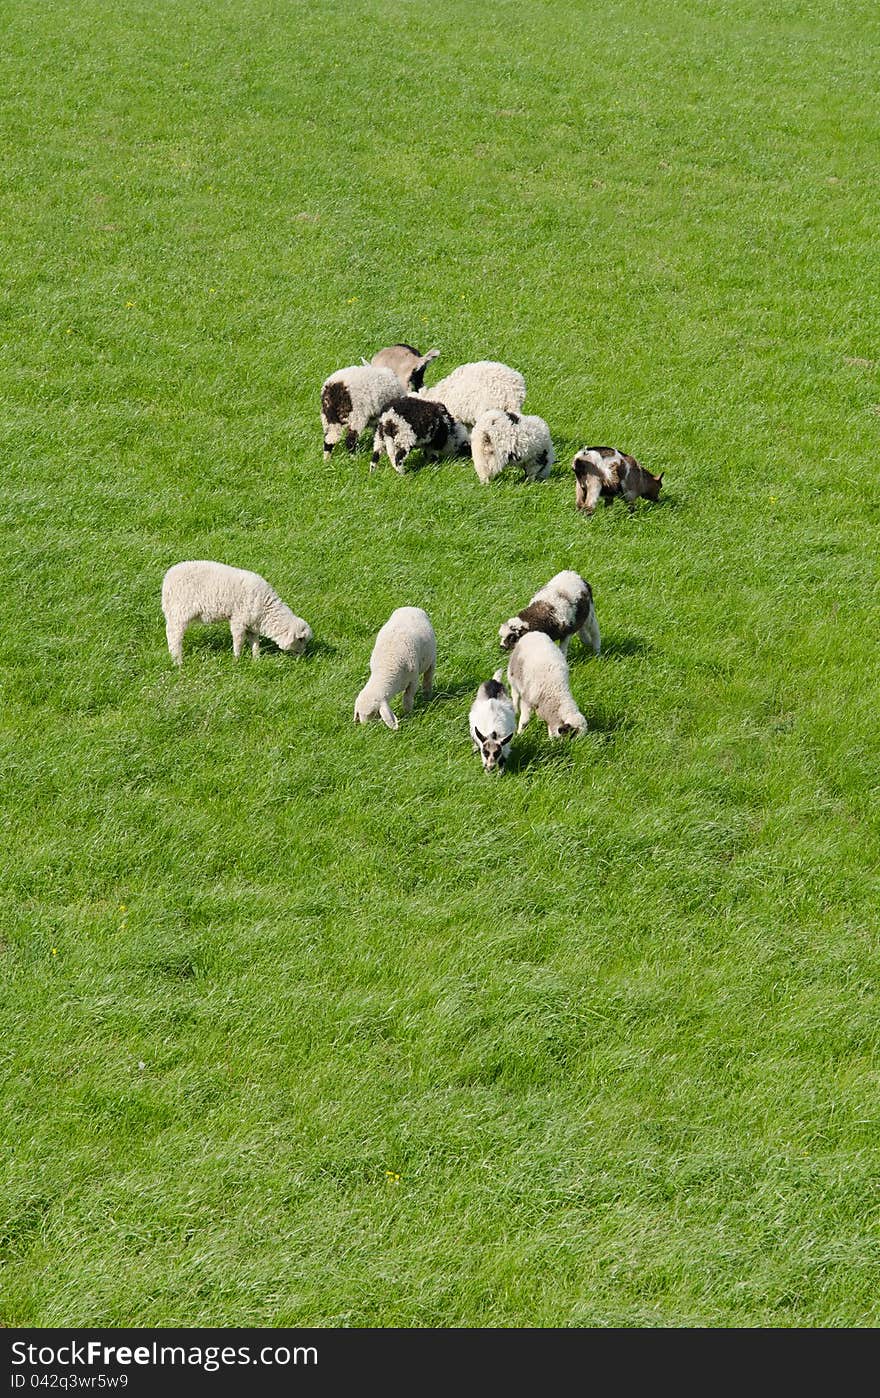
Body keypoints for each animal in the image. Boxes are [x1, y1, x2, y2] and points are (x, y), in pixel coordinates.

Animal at [161, 556, 311, 665]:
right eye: (300, 639)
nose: (302, 657)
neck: (267, 608)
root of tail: (168, 577)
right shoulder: (239, 619)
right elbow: (238, 641)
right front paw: (237, 659)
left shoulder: (252, 624)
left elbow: (255, 642)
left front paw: (256, 659)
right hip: (180, 610)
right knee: (174, 634)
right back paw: (177, 660)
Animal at [349, 603, 433, 732]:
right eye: (358, 713)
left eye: (373, 713)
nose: (367, 729)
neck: (386, 667)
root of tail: (410, 607)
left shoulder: (413, 679)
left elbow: (408, 699)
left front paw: (408, 713)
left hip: (432, 657)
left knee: (428, 677)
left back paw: (427, 695)